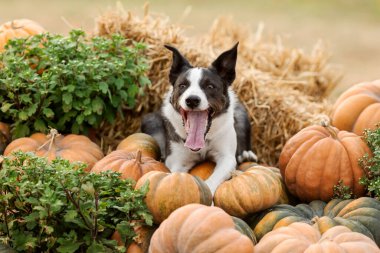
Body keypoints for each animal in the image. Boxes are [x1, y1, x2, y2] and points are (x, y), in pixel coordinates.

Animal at [141, 43, 256, 194]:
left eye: (210, 86)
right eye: (182, 85)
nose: (192, 100)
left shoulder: (226, 158)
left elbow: (214, 179)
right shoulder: (176, 162)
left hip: (241, 113)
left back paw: (247, 155)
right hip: (150, 121)